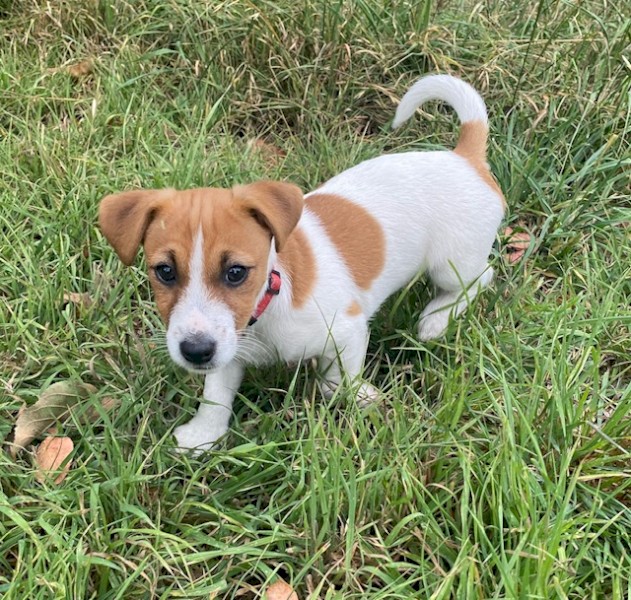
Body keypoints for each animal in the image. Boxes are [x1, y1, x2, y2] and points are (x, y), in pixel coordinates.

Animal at [99, 74, 506, 450]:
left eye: (236, 273)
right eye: (165, 272)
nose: (195, 352)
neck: (270, 302)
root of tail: (463, 158)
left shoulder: (347, 330)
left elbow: (338, 379)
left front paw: (357, 396)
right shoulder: (228, 348)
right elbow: (216, 393)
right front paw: (204, 433)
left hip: (453, 263)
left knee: (482, 277)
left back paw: (437, 319)